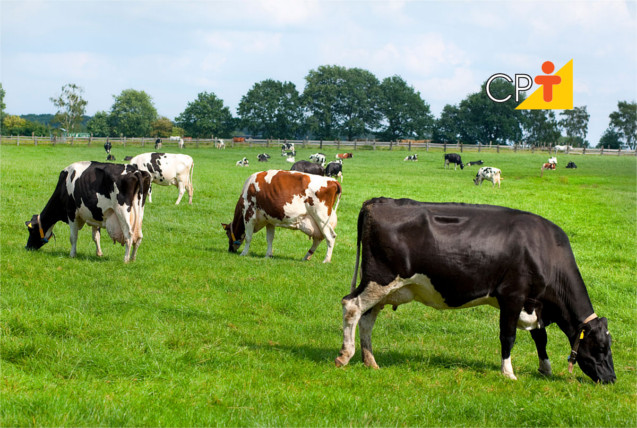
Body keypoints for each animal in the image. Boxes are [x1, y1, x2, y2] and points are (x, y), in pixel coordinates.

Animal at [24, 160, 152, 260]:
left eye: (31, 230)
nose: (28, 247)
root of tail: (136, 171)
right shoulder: (95, 214)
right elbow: (96, 236)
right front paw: (99, 253)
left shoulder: (71, 213)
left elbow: (73, 236)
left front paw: (72, 254)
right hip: (140, 210)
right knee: (139, 236)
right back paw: (133, 259)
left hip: (122, 210)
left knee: (129, 235)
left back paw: (125, 259)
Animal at [338, 198, 616, 384]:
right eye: (601, 347)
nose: (612, 378)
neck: (544, 249)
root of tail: (377, 201)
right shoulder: (512, 296)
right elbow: (508, 336)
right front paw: (508, 372)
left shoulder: (535, 303)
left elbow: (540, 337)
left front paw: (545, 368)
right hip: (378, 279)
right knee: (351, 306)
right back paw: (344, 356)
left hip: (382, 288)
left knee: (367, 319)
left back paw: (370, 361)